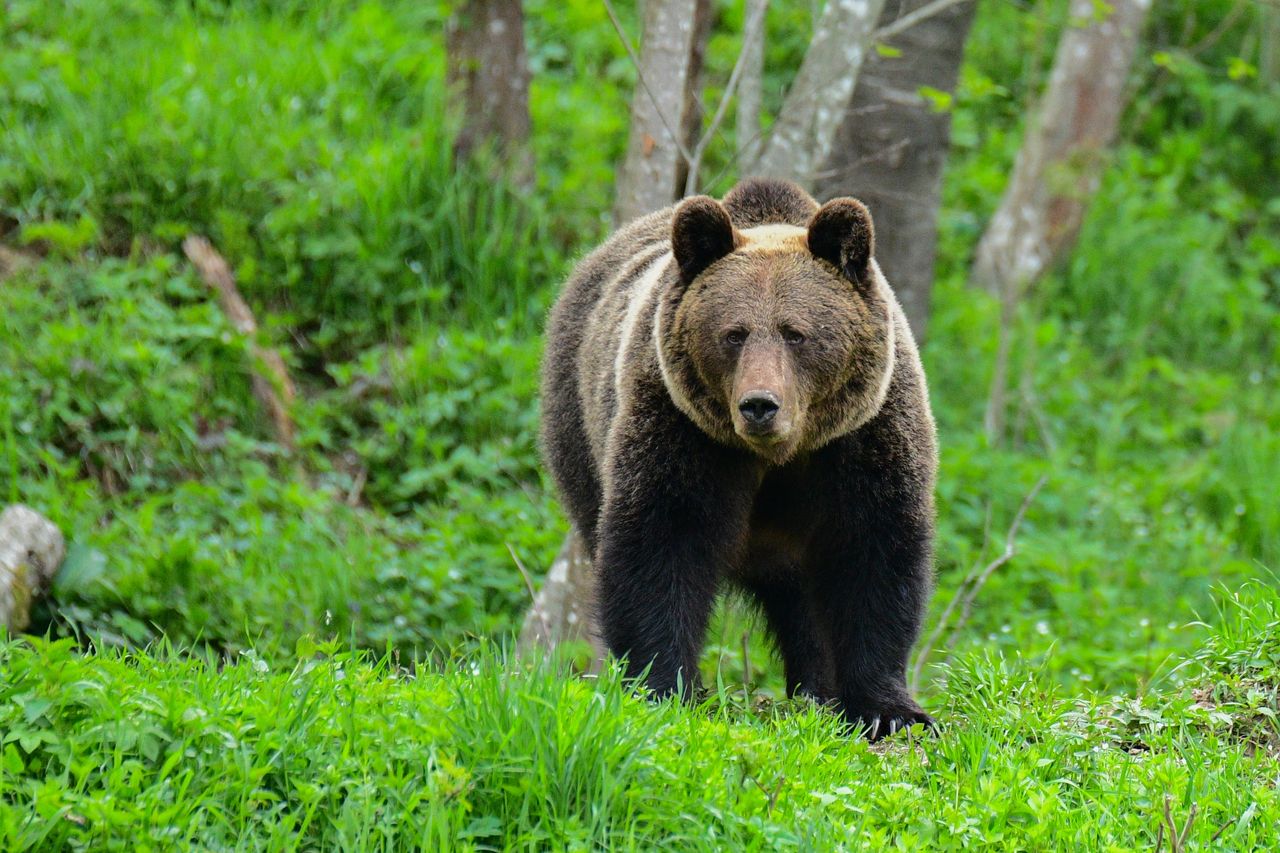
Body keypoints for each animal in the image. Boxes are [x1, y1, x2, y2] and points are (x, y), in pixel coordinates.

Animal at [542, 175, 942, 732]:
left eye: (796, 333)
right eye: (734, 333)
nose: (759, 405)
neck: (781, 454)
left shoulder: (862, 439)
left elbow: (874, 555)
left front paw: (888, 710)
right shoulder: (682, 431)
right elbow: (660, 545)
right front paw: (665, 688)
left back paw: (817, 690)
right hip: (578, 426)